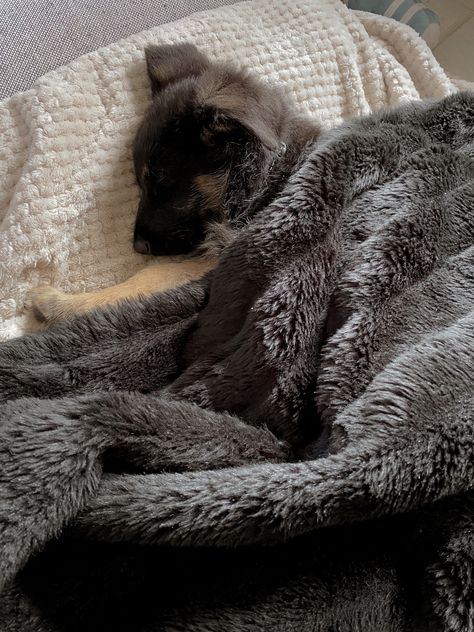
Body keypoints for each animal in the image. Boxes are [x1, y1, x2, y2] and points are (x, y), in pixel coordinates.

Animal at [27, 43, 320, 326]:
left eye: (160, 180)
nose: (138, 247)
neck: (269, 177)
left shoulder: (228, 255)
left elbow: (152, 276)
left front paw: (62, 304)